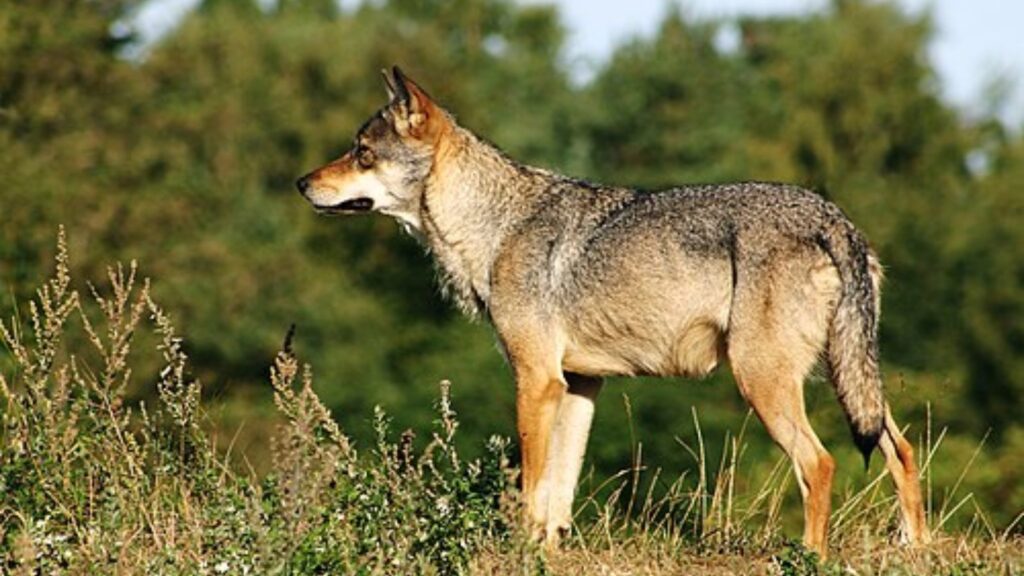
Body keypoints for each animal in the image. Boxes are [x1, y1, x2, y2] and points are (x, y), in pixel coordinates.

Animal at [295, 66, 930, 556]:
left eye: (361, 154)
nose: (301, 183)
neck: (493, 226)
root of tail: (834, 219)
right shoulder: (579, 385)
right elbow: (559, 491)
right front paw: (548, 553)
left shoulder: (536, 381)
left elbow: (531, 486)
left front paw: (520, 551)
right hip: (846, 380)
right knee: (901, 449)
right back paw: (915, 549)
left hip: (764, 382)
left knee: (820, 464)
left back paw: (810, 557)